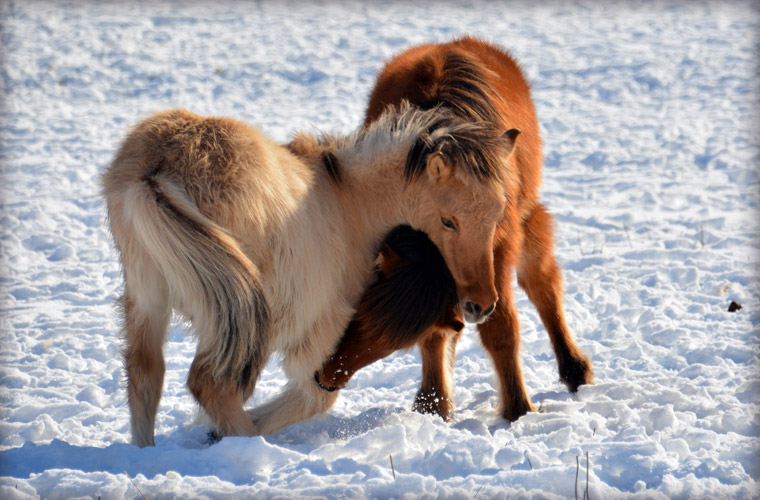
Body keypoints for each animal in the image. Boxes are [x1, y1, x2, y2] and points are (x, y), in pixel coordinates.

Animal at [102, 103, 516, 448]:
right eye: (449, 221)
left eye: (497, 215)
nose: (481, 304)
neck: (351, 202)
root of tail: (156, 173)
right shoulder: (321, 331)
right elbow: (315, 398)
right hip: (252, 319)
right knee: (211, 384)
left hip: (149, 299)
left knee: (145, 374)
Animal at [314, 36, 592, 422]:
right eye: (448, 221)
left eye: (496, 217)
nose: (478, 304)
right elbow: (436, 333)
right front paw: (432, 404)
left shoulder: (501, 248)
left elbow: (502, 326)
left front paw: (518, 408)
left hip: (528, 223)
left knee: (543, 283)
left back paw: (574, 369)